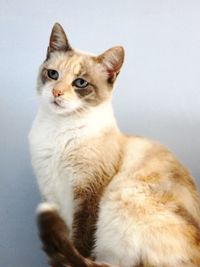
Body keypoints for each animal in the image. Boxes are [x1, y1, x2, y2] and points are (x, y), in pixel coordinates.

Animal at [29, 23, 200, 267]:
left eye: (80, 83)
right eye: (53, 74)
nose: (56, 92)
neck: (57, 130)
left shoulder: (89, 193)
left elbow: (79, 242)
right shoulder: (51, 195)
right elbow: (64, 240)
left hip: (121, 197)